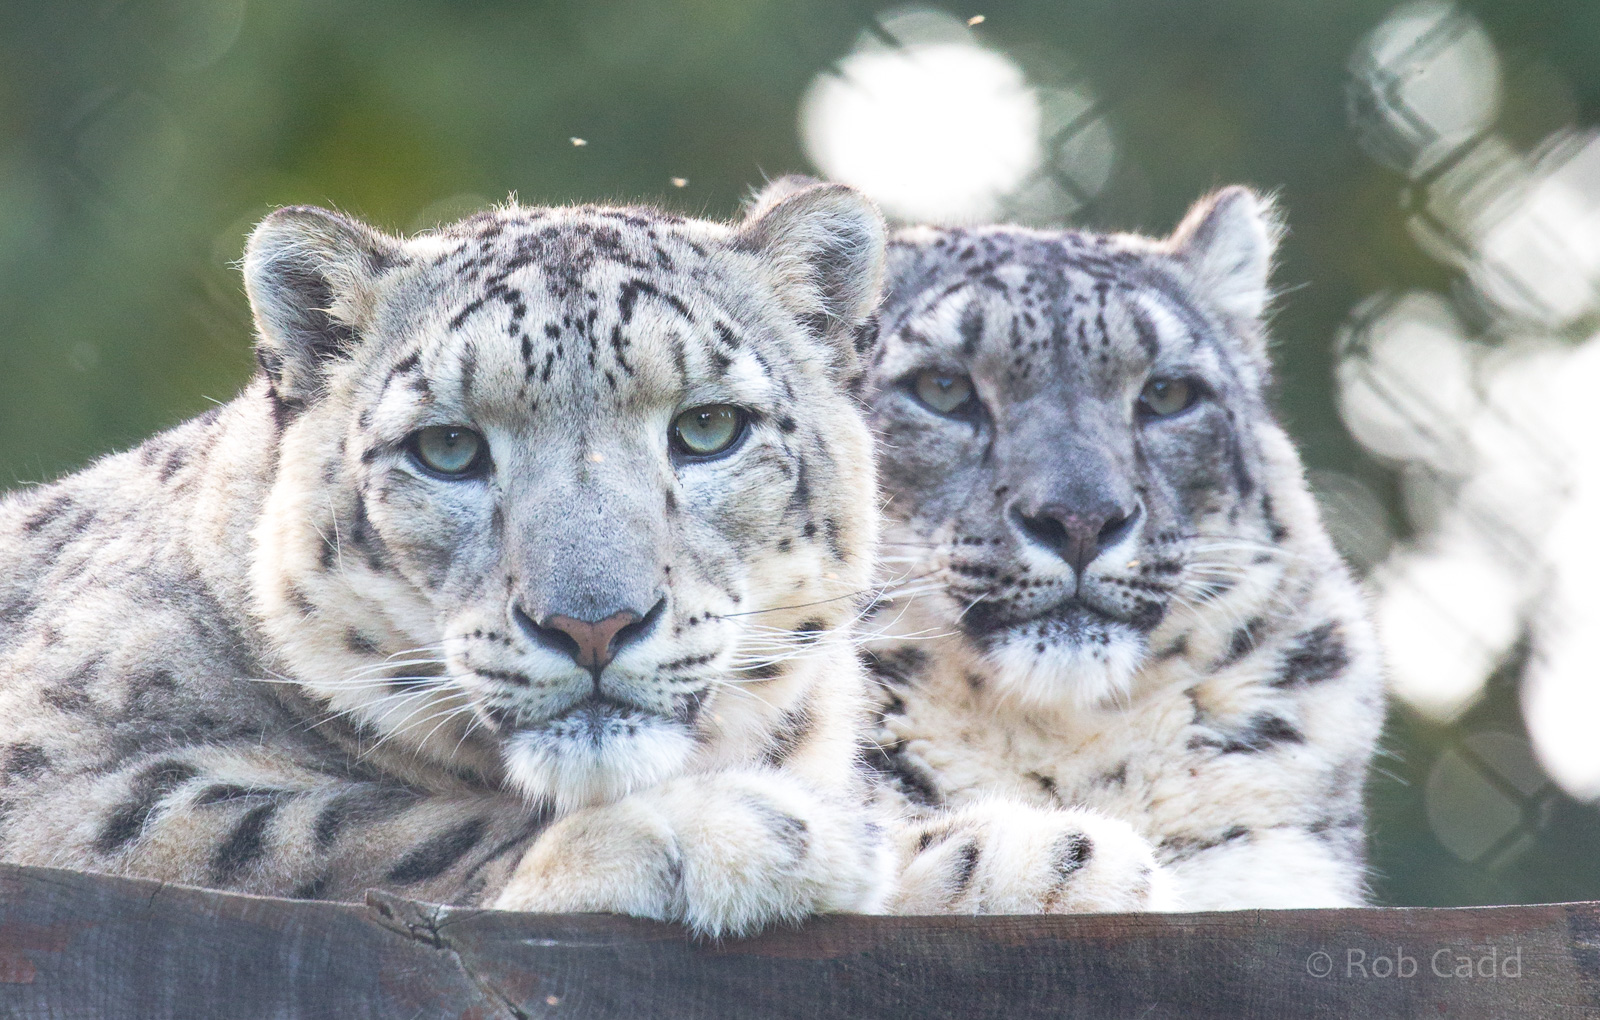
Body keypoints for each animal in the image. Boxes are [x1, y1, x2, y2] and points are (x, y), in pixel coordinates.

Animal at [0, 183, 910, 937]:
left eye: (709, 428)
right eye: (446, 448)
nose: (592, 625)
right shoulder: (59, 777)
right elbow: (325, 827)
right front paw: (728, 831)